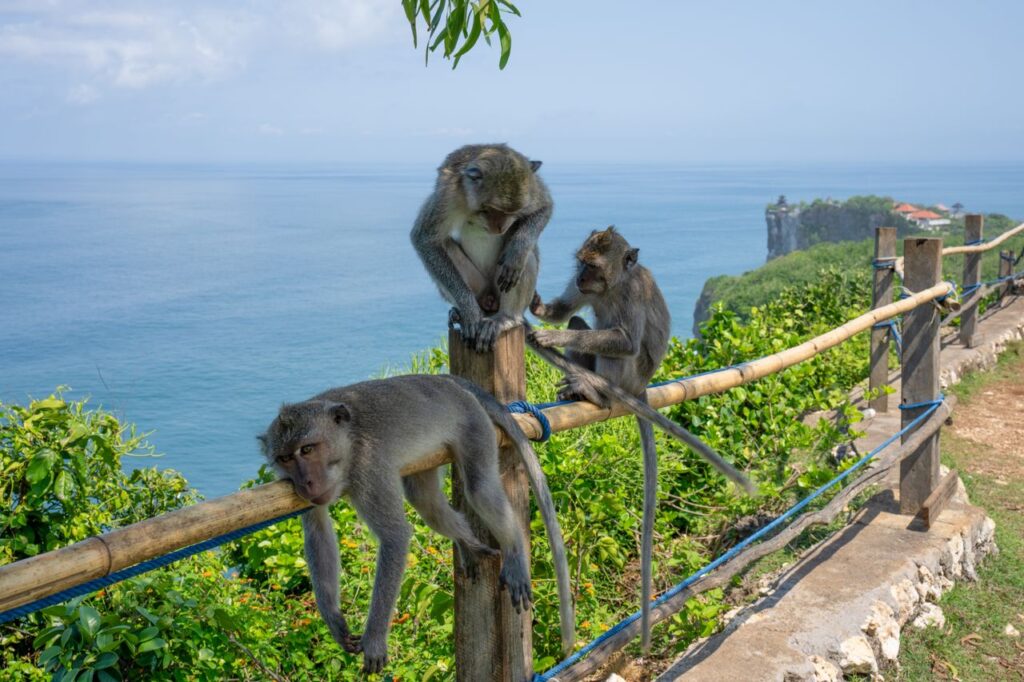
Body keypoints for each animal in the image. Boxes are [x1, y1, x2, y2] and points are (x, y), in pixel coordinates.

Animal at [258, 374, 574, 674]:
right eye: (285, 458)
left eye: (307, 449)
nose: (306, 483)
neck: (348, 443)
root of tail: (445, 381)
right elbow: (318, 534)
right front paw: (334, 619)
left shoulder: (369, 468)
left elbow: (395, 536)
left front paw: (375, 639)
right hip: (431, 454)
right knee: (424, 498)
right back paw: (467, 543)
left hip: (472, 424)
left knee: (480, 488)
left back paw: (514, 551)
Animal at [411, 143, 552, 352]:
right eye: (489, 210)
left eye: (511, 212)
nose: (499, 228)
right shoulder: (448, 195)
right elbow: (424, 239)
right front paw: (469, 312)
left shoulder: (532, 186)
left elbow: (544, 207)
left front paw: (517, 253)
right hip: (480, 287)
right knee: (444, 243)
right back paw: (462, 312)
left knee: (524, 255)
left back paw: (507, 317)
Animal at [527, 226, 754, 654]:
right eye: (581, 263)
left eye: (593, 265)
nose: (582, 277)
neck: (614, 284)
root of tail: (641, 389)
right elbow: (566, 309)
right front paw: (537, 304)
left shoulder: (632, 294)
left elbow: (625, 341)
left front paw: (552, 334)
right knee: (582, 320)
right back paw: (578, 388)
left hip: (628, 378)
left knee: (617, 349)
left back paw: (597, 393)